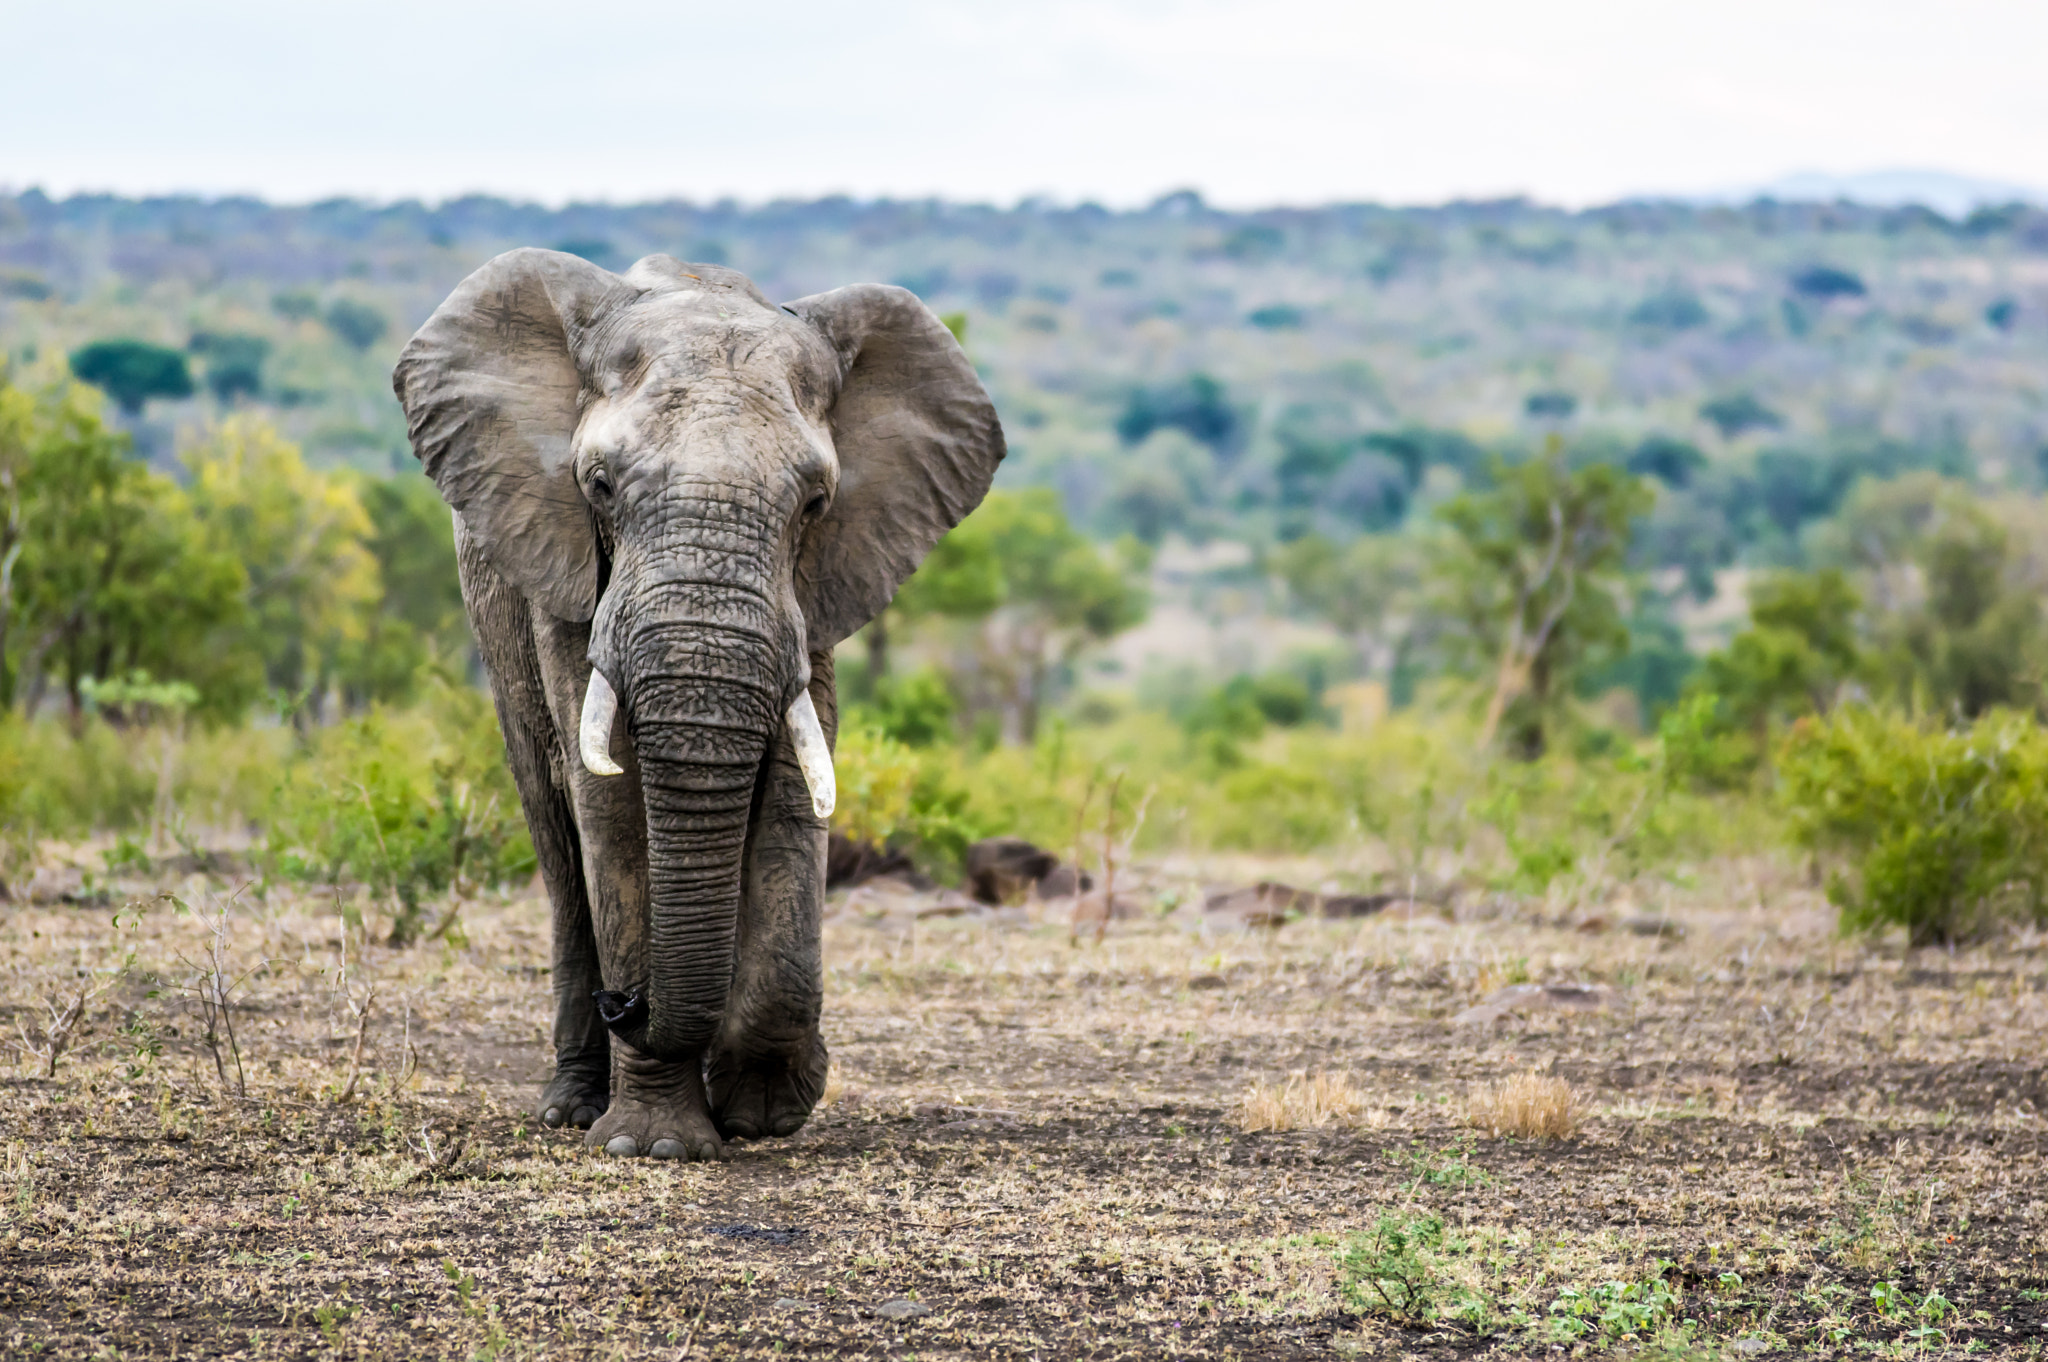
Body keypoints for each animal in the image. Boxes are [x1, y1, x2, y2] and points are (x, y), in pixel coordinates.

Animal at [391, 246, 999, 1155]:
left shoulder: (815, 590)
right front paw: (654, 1145)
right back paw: (572, 1105)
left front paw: (763, 1106)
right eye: (599, 486)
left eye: (815, 503)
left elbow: (792, 790)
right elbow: (609, 805)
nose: (629, 1004)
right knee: (556, 835)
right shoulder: (568, 576)